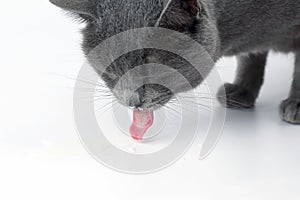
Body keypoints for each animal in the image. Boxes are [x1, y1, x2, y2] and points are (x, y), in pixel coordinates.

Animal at [50, 0, 300, 124]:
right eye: (110, 71)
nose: (132, 102)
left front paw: (296, 105)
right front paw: (242, 91)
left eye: (152, 69)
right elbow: (251, 56)